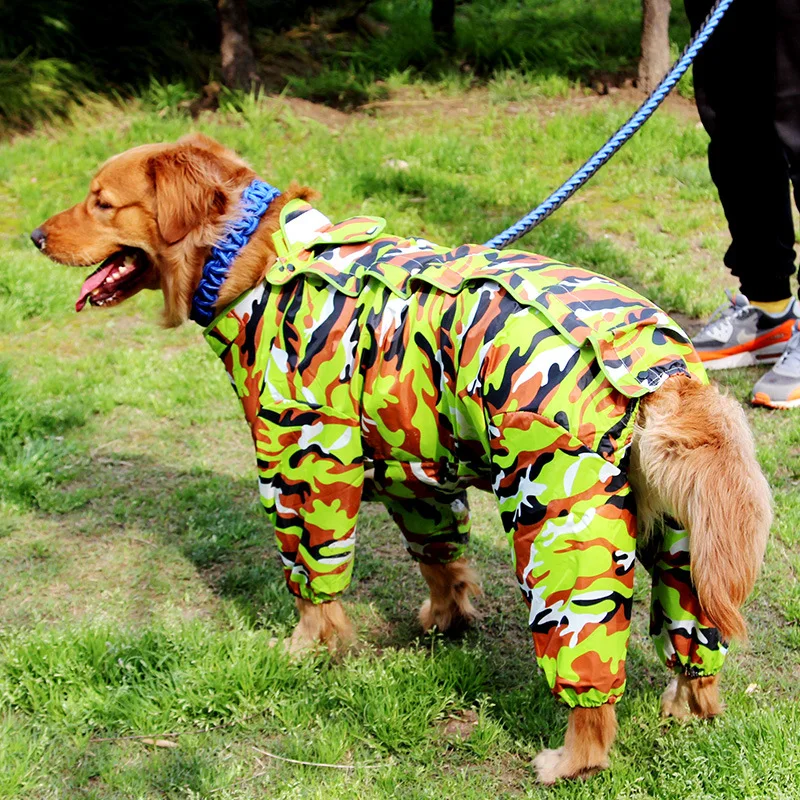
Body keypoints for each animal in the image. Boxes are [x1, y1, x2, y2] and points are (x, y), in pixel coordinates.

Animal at [31, 133, 768, 780]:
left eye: (102, 202)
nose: (35, 236)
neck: (257, 259)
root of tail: (655, 363)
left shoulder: (299, 461)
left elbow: (313, 581)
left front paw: (306, 649)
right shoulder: (414, 466)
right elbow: (441, 557)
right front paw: (446, 620)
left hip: (561, 518)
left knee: (588, 672)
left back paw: (571, 759)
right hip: (679, 537)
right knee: (693, 636)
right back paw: (688, 705)